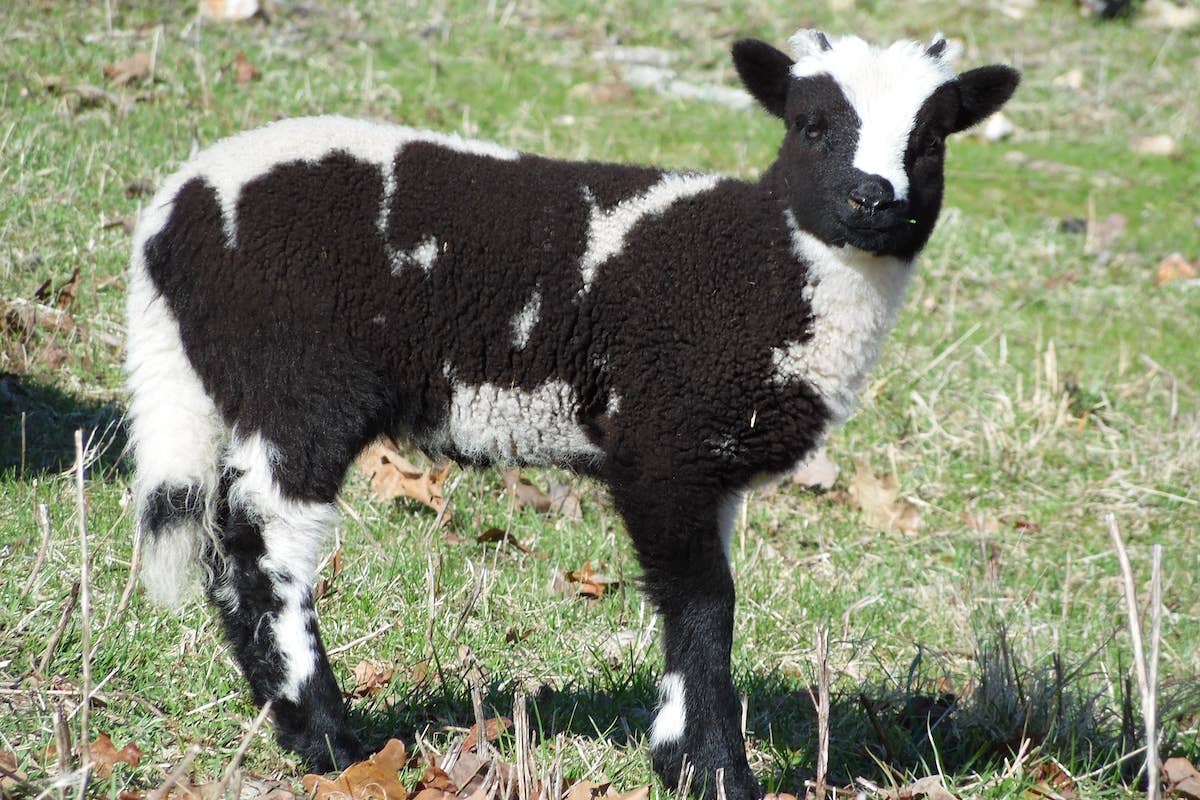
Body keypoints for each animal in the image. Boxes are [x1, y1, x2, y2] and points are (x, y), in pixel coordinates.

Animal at [125, 28, 1019, 799]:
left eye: (932, 140)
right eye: (812, 125)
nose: (874, 200)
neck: (767, 267)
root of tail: (169, 217)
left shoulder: (711, 465)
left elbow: (690, 600)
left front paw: (678, 755)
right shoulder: (662, 441)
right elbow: (705, 603)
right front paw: (720, 772)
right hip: (303, 381)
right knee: (265, 542)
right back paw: (328, 741)